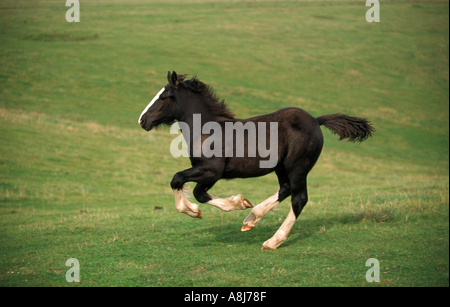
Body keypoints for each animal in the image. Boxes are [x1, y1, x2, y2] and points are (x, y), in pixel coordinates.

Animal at [139, 71, 374, 250]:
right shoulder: (208, 173)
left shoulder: (211, 170)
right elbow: (198, 192)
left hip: (298, 167)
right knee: (285, 189)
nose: (142, 120)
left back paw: (273, 241)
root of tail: (316, 121)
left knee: (299, 198)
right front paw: (240, 203)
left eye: (163, 98)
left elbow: (179, 180)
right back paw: (251, 218)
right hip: (281, 167)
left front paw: (195, 211)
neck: (207, 130)